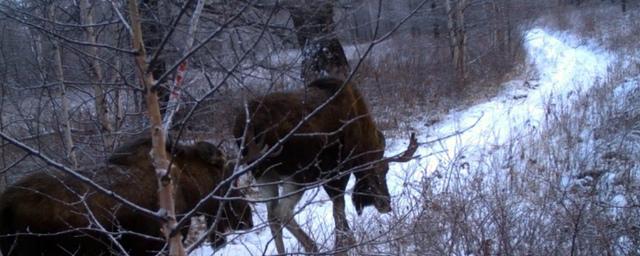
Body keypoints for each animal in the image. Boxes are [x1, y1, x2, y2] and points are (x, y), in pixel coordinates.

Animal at [232, 77, 418, 255]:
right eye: (381, 171)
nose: (386, 204)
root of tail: (247, 128)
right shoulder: (338, 172)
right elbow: (338, 209)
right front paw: (343, 246)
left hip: (263, 172)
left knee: (272, 215)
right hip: (298, 174)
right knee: (282, 212)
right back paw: (312, 247)